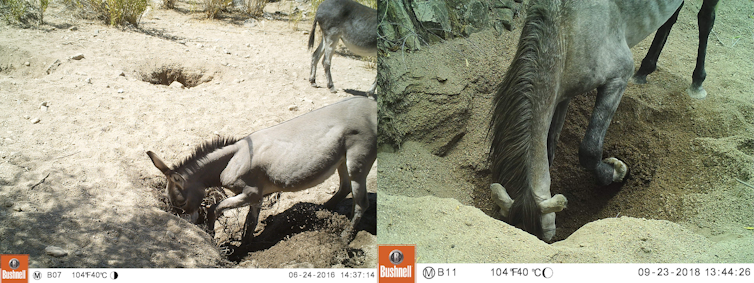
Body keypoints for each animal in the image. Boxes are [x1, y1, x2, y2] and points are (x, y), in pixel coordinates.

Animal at [147, 97, 376, 244]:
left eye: (181, 202)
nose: (191, 228)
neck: (233, 157)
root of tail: (371, 104)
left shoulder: (250, 193)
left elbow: (214, 209)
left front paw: (212, 234)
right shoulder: (257, 197)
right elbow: (250, 223)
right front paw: (244, 248)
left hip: (357, 163)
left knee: (361, 203)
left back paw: (345, 237)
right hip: (342, 161)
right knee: (344, 188)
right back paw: (319, 211)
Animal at [484, 0, 684, 243]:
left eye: (545, 238)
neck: (569, 27)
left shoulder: (619, 77)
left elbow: (589, 150)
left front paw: (617, 171)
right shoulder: (562, 93)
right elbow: (550, 145)